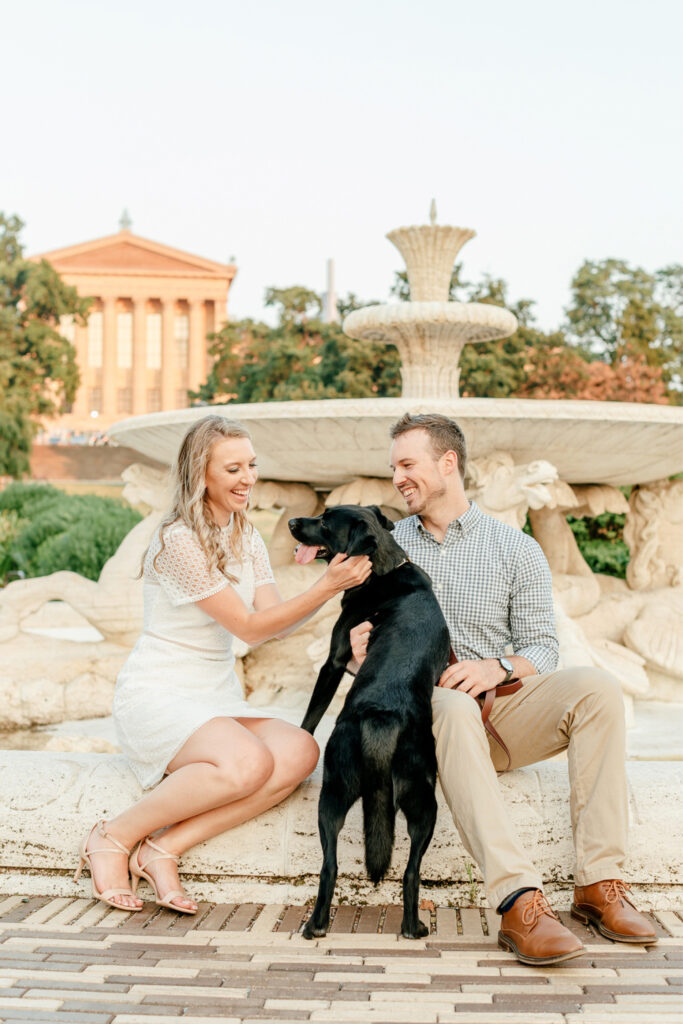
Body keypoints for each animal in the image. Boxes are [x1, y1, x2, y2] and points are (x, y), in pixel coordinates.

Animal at [286, 499, 448, 937]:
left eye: (325, 522)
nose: (291, 521)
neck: (383, 570)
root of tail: (382, 716)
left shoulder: (335, 660)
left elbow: (310, 715)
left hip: (351, 791)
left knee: (350, 868)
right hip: (398, 801)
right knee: (394, 870)